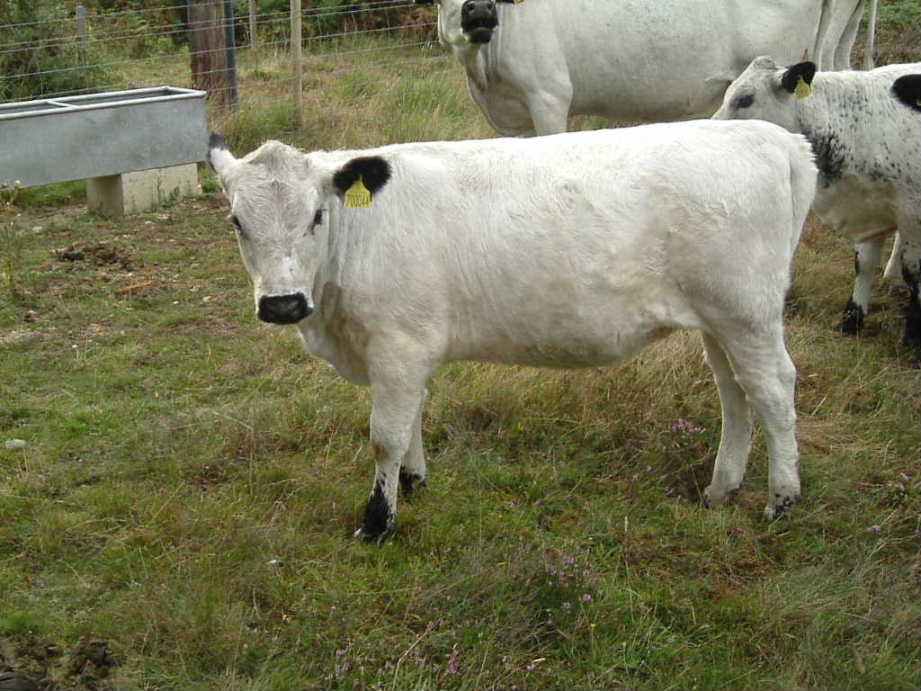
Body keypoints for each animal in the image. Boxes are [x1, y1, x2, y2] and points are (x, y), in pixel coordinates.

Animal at [210, 123, 820, 540]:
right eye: (237, 221)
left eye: (316, 216)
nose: (283, 304)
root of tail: (775, 137)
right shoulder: (407, 352)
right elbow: (412, 420)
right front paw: (414, 483)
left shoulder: (398, 345)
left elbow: (386, 435)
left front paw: (379, 521)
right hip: (718, 322)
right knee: (735, 394)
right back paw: (720, 490)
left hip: (747, 314)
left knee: (773, 393)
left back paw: (782, 502)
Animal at [712, 59, 920, 356]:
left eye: (745, 99)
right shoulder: (871, 206)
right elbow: (864, 263)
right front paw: (852, 321)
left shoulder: (912, 210)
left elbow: (914, 273)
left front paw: (912, 338)